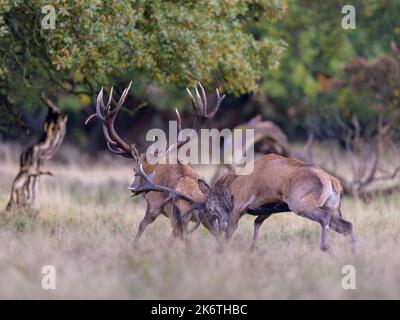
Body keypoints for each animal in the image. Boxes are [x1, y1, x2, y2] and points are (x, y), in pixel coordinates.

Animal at [85, 81, 225, 246]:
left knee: (184, 240)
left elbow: (141, 226)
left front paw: (133, 246)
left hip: (180, 216)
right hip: (209, 218)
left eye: (134, 169)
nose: (133, 187)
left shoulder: (153, 205)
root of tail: (199, 201)